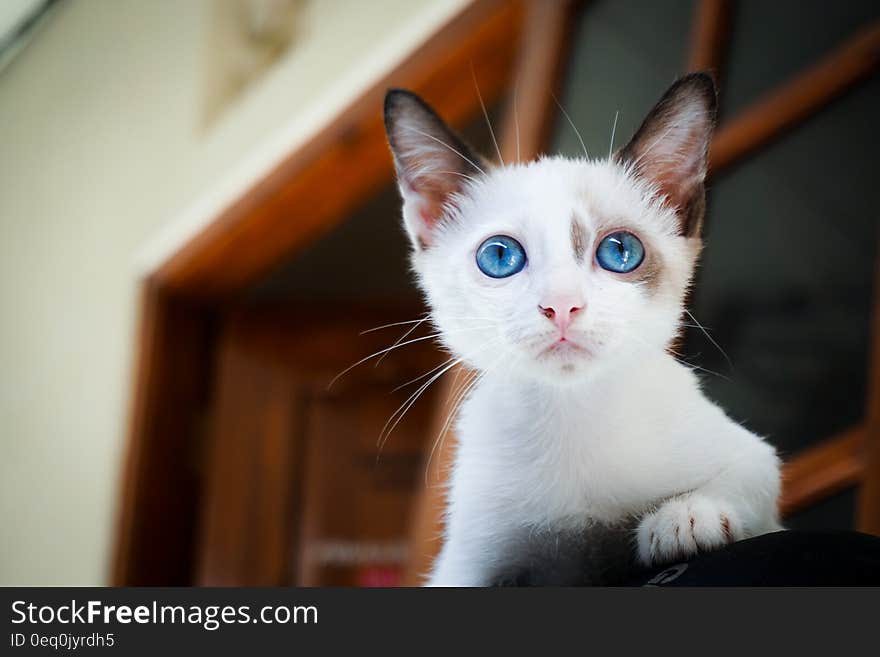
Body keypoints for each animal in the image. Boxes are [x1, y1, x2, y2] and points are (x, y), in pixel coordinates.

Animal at [382, 73, 780, 584]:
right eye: (499, 256)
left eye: (620, 251)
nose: (561, 305)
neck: (571, 415)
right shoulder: (464, 566)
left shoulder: (751, 454)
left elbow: (753, 474)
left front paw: (689, 518)